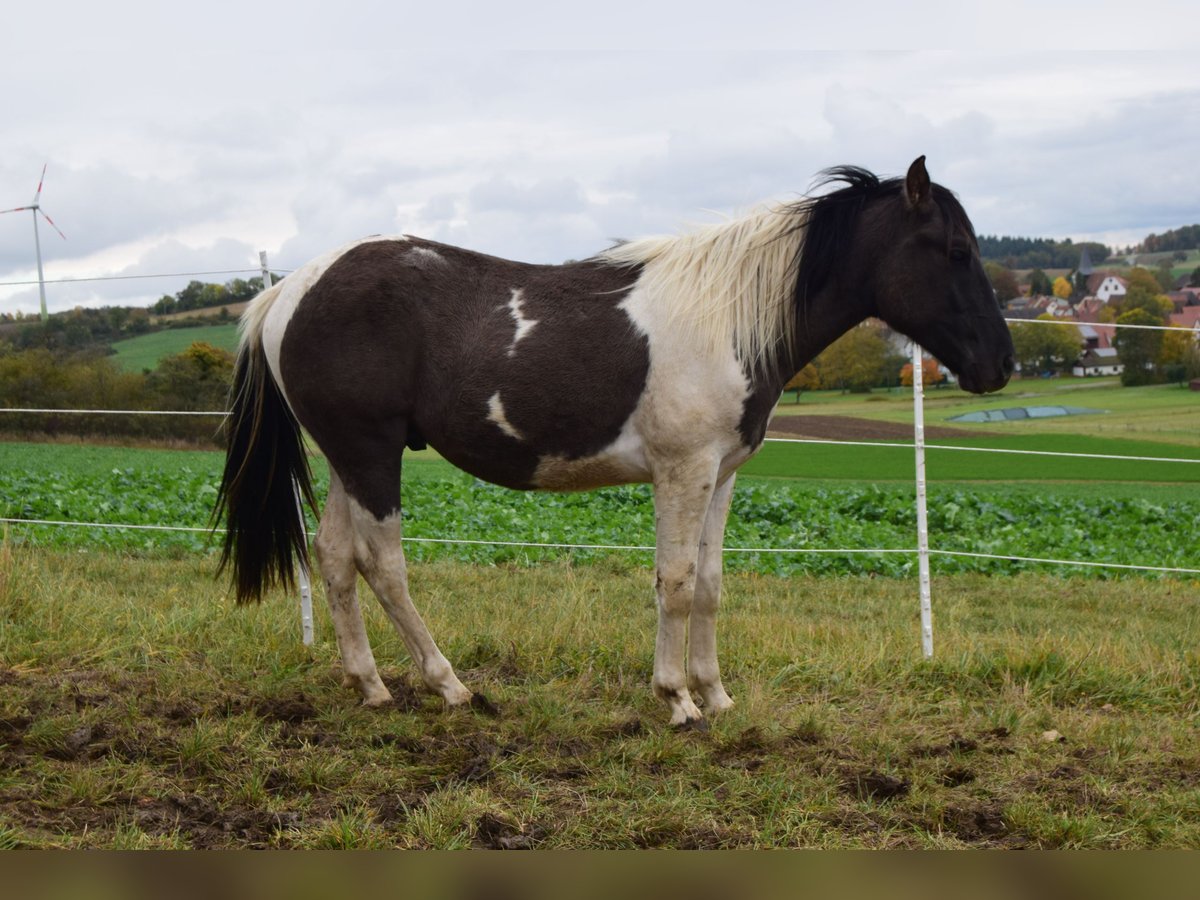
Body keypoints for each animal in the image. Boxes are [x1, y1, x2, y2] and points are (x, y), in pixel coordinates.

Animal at [216, 158, 1012, 729]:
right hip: (372, 456)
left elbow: (712, 585)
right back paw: (449, 686)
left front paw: (717, 694)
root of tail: (288, 293)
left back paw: (372, 686)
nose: (1000, 366)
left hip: (346, 458)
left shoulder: (722, 474)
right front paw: (678, 700)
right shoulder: (682, 472)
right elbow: (676, 582)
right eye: (955, 249)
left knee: (334, 558)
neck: (727, 318)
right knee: (383, 565)